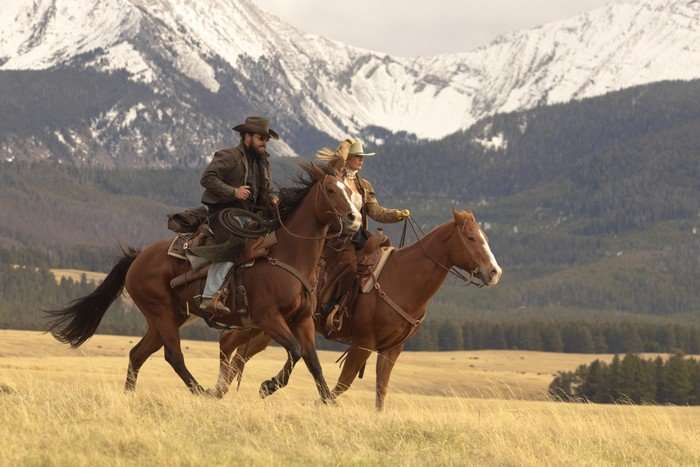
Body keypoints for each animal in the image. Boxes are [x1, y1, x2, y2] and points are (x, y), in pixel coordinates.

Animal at [46, 163, 361, 403]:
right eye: (331, 190)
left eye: (351, 192)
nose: (354, 218)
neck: (287, 256)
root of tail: (138, 257)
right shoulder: (268, 318)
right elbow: (295, 351)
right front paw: (267, 386)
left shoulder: (303, 320)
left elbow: (312, 360)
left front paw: (328, 401)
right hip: (161, 312)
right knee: (173, 355)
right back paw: (203, 392)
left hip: (167, 317)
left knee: (138, 354)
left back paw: (130, 396)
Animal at [209, 209, 502, 410]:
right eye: (471, 237)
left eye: (485, 237)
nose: (494, 272)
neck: (404, 279)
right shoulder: (363, 343)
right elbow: (345, 382)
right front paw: (321, 403)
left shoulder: (391, 349)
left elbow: (381, 390)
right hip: (264, 324)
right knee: (232, 345)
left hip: (263, 327)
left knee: (238, 352)